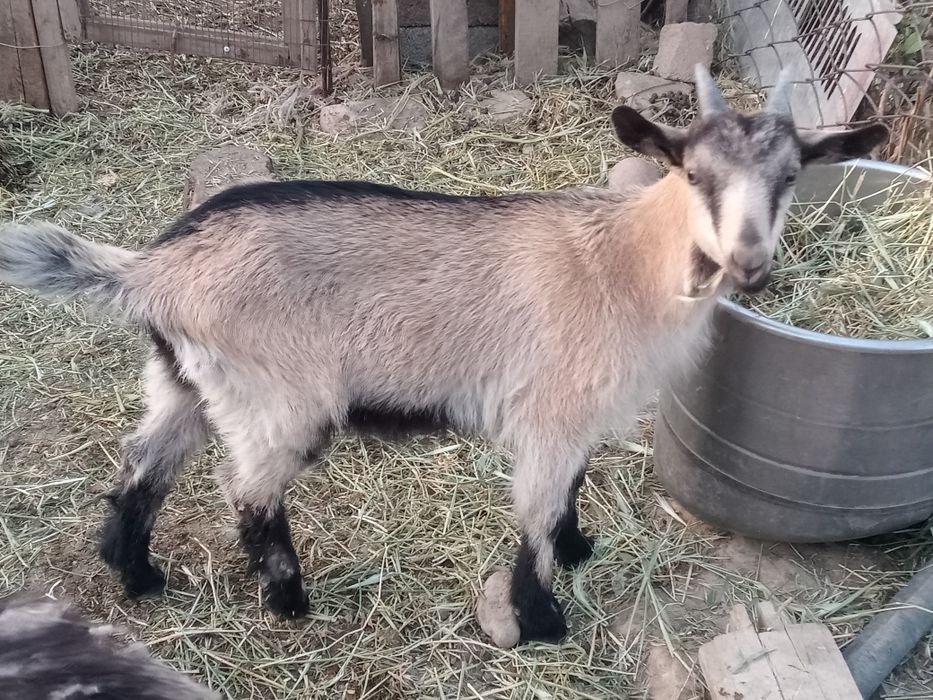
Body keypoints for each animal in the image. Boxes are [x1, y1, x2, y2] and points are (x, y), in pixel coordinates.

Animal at [0, 66, 886, 643]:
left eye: (790, 176)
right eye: (694, 173)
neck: (624, 263)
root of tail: (155, 271)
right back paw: (289, 603)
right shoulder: (547, 413)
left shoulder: (578, 415)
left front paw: (579, 550)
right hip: (276, 397)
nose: (749, 262)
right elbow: (536, 510)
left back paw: (136, 575)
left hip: (184, 378)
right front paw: (544, 618)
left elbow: (570, 490)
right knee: (249, 494)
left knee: (143, 465)